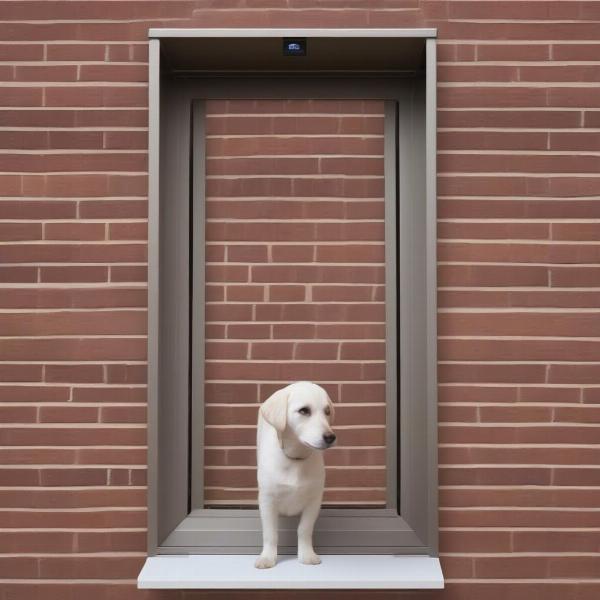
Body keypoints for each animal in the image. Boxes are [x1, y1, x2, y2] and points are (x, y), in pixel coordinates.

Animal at [254, 382, 336, 568]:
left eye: (327, 411)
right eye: (304, 411)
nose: (331, 437)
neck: (296, 459)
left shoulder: (314, 501)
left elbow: (304, 529)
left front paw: (307, 555)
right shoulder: (267, 500)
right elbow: (270, 533)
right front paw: (267, 557)